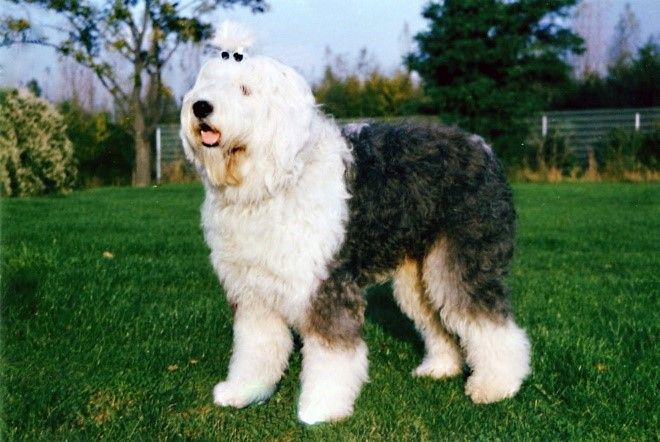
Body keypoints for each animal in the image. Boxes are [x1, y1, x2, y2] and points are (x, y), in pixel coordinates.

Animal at [180, 22, 532, 424]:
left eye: (244, 89)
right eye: (207, 84)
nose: (200, 107)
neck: (275, 178)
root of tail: (483, 148)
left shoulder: (326, 284)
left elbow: (331, 352)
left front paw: (320, 408)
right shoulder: (254, 290)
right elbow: (254, 347)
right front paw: (243, 391)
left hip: (463, 260)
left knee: (488, 321)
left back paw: (498, 386)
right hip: (418, 275)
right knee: (437, 319)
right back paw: (441, 367)